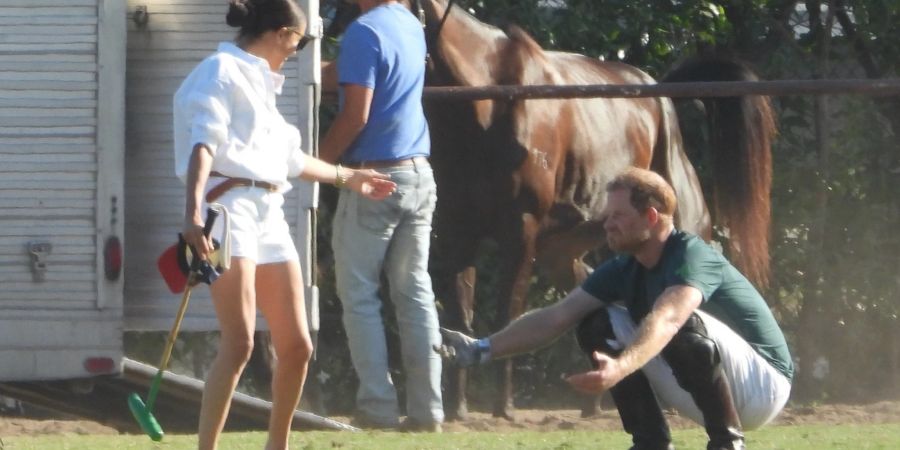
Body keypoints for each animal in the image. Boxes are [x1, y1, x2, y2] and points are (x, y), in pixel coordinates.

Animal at [324, 0, 772, 422]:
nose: (339, 34)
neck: (484, 104)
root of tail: (659, 97)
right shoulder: (457, 232)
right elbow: (462, 314)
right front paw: (458, 406)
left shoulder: (520, 230)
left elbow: (507, 312)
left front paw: (502, 406)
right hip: (564, 250)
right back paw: (594, 401)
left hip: (682, 223)